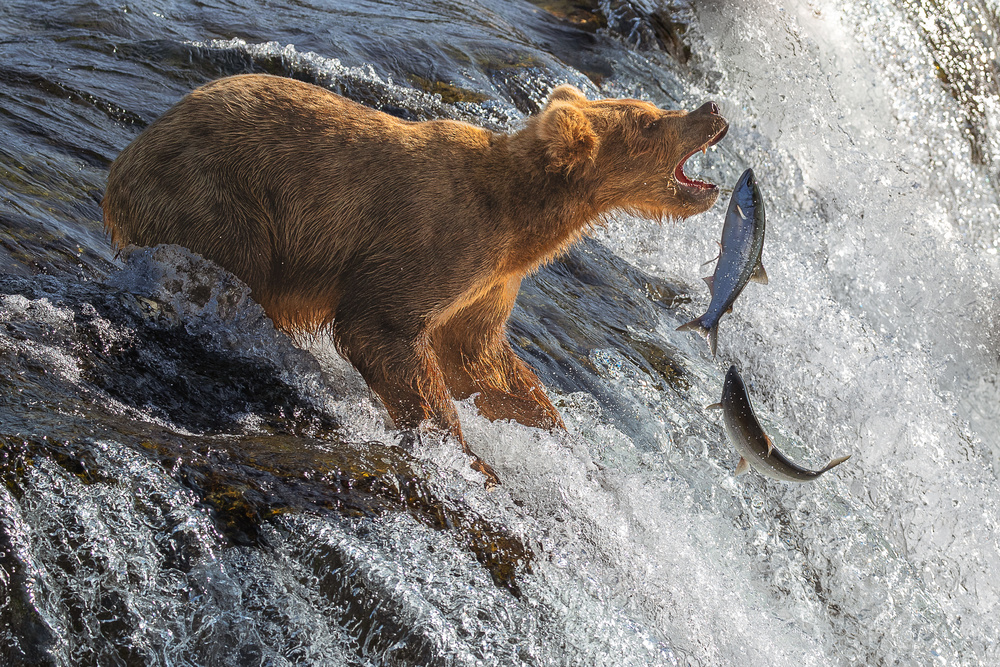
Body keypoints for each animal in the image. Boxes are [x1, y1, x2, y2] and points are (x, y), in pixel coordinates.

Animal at [101, 74, 728, 486]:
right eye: (648, 120)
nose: (712, 109)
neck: (523, 221)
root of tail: (123, 162)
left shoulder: (490, 283)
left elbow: (480, 358)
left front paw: (558, 433)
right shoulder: (437, 241)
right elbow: (385, 330)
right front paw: (463, 455)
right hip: (224, 202)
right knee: (231, 280)